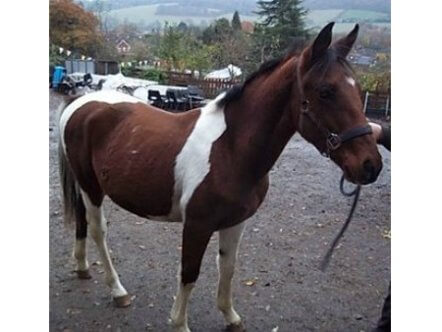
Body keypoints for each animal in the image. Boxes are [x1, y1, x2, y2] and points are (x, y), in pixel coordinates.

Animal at [57, 22, 384, 330]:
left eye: (357, 90)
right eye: (326, 91)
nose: (371, 165)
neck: (231, 149)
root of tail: (79, 103)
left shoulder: (236, 221)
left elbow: (228, 267)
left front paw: (231, 317)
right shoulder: (197, 225)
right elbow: (189, 272)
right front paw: (179, 323)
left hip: (85, 186)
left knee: (83, 223)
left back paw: (82, 267)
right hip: (91, 187)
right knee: (98, 231)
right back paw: (118, 291)